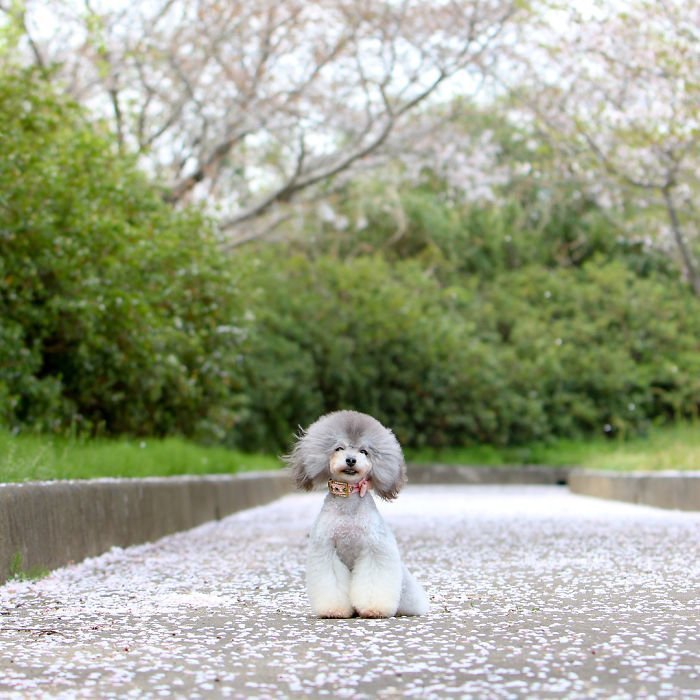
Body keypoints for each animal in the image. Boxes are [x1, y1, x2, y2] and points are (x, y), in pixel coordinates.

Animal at [284, 410, 426, 616]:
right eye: (339, 448)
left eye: (363, 451)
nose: (351, 460)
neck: (348, 506)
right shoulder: (326, 551)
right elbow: (331, 583)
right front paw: (334, 610)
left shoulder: (374, 549)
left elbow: (374, 580)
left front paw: (374, 609)